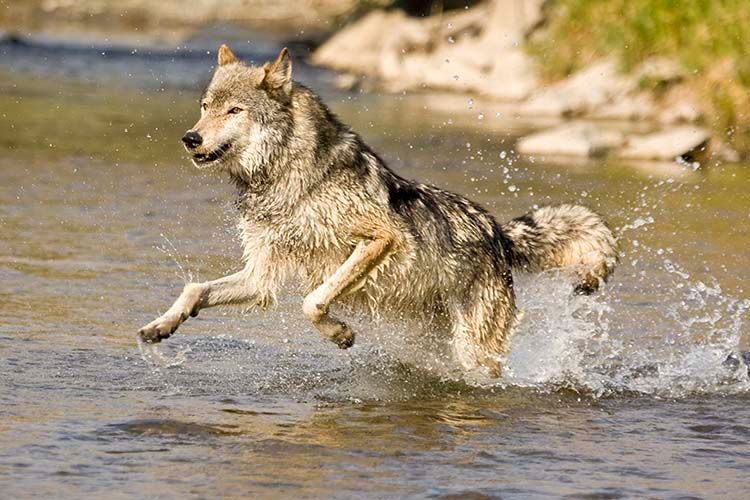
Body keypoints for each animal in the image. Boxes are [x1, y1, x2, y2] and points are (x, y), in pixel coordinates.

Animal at [137, 45, 618, 376]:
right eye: (205, 107)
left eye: (234, 110)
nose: (190, 139)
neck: (287, 182)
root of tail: (498, 231)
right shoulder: (261, 276)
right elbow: (194, 289)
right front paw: (160, 327)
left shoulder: (381, 239)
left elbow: (313, 301)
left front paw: (341, 334)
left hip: (473, 348)